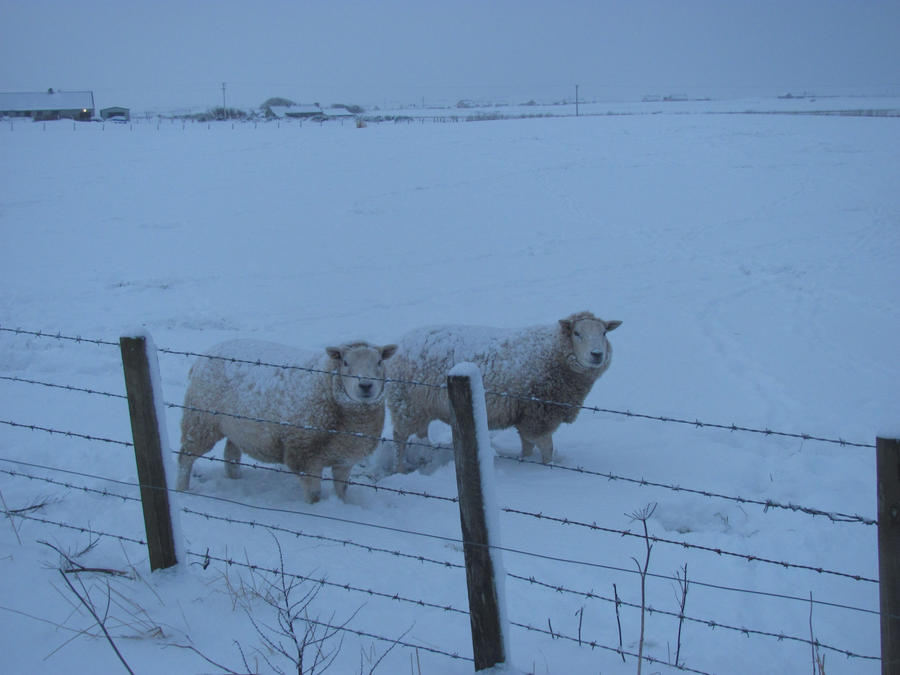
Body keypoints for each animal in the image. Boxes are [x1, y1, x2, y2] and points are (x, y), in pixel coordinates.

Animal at [178, 340, 396, 504]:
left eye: (379, 362)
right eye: (345, 362)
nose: (365, 385)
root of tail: (206, 354)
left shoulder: (345, 456)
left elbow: (342, 490)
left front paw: (341, 506)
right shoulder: (304, 455)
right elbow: (314, 495)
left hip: (237, 427)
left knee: (230, 454)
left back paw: (235, 479)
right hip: (200, 421)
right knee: (185, 458)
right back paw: (182, 490)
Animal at [386, 310, 620, 470]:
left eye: (604, 332)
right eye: (577, 333)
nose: (597, 354)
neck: (554, 354)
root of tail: (399, 344)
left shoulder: (525, 416)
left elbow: (527, 446)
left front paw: (524, 461)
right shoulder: (538, 417)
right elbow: (546, 449)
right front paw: (548, 469)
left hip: (419, 407)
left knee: (418, 433)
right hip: (405, 405)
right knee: (399, 439)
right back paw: (399, 468)